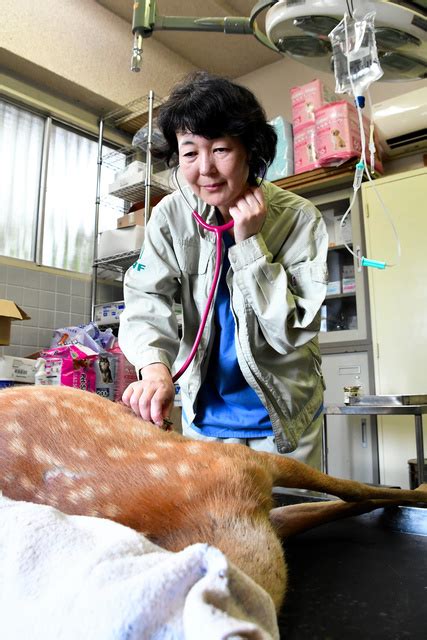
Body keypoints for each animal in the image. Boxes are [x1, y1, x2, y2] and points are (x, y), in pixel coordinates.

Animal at [0, 382, 427, 612]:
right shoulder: (242, 463)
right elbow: (350, 487)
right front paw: (420, 492)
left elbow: (343, 498)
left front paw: (409, 494)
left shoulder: (256, 492)